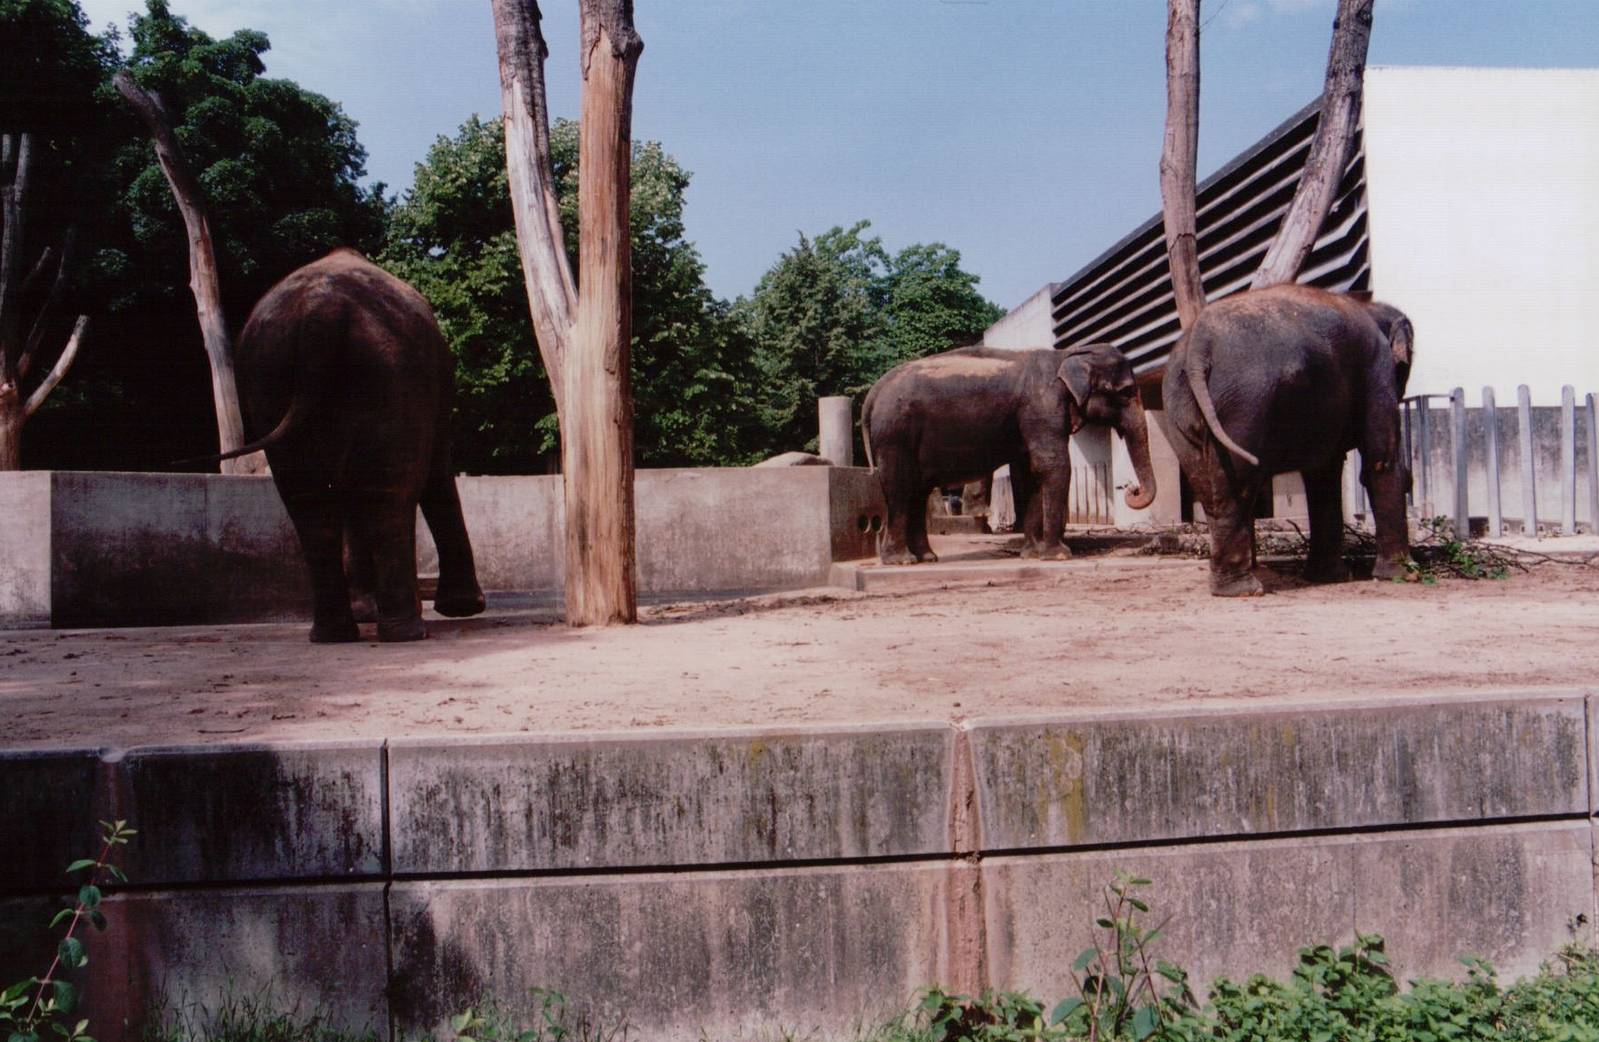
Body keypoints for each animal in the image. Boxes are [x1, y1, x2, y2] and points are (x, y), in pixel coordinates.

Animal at [226, 248, 486, 642]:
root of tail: (321, 313)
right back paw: (406, 633)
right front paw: (463, 608)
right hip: (386, 370)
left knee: (310, 502)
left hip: (274, 377)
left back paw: (336, 633)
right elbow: (435, 472)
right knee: (388, 492)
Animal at [862, 343, 1158, 565]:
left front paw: (1032, 554)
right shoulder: (1042, 407)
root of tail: (873, 393)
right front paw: (1058, 555)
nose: (1129, 488)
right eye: (1126, 392)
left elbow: (1028, 473)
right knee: (900, 488)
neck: (1067, 354)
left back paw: (927, 558)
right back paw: (901, 561)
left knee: (917, 492)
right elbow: (1052, 465)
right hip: (894, 433)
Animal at [1162, 283, 1415, 597]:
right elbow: (1380, 462)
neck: (1372, 307)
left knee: (1207, 487)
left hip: (1180, 406)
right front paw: (1403, 576)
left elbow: (1323, 474)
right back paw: (1245, 590)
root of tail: (1199, 343)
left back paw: (1231, 587)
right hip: (1244, 403)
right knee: (1236, 484)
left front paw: (1328, 577)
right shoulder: (1376, 370)